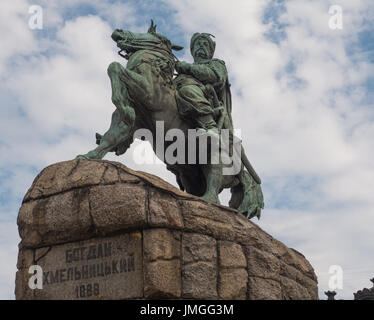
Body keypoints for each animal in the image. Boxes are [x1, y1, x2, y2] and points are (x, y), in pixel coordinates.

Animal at [75, 21, 262, 219]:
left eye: (154, 36)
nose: (118, 31)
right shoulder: (127, 123)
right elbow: (111, 137)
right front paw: (89, 156)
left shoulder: (149, 93)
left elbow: (115, 67)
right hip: (189, 174)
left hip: (214, 157)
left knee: (214, 175)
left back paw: (209, 199)